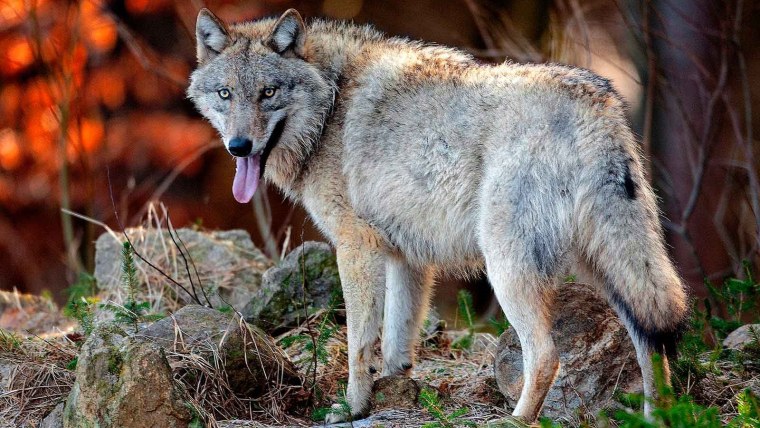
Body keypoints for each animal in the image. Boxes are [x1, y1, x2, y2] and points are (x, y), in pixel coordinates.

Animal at [188, 8, 689, 423]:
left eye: (268, 93)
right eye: (226, 94)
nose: (239, 147)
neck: (330, 105)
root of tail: (597, 106)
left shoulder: (356, 248)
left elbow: (358, 343)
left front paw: (351, 408)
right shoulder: (405, 258)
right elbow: (397, 340)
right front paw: (393, 390)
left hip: (509, 270)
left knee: (547, 356)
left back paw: (515, 420)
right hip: (609, 269)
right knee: (652, 344)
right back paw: (659, 417)